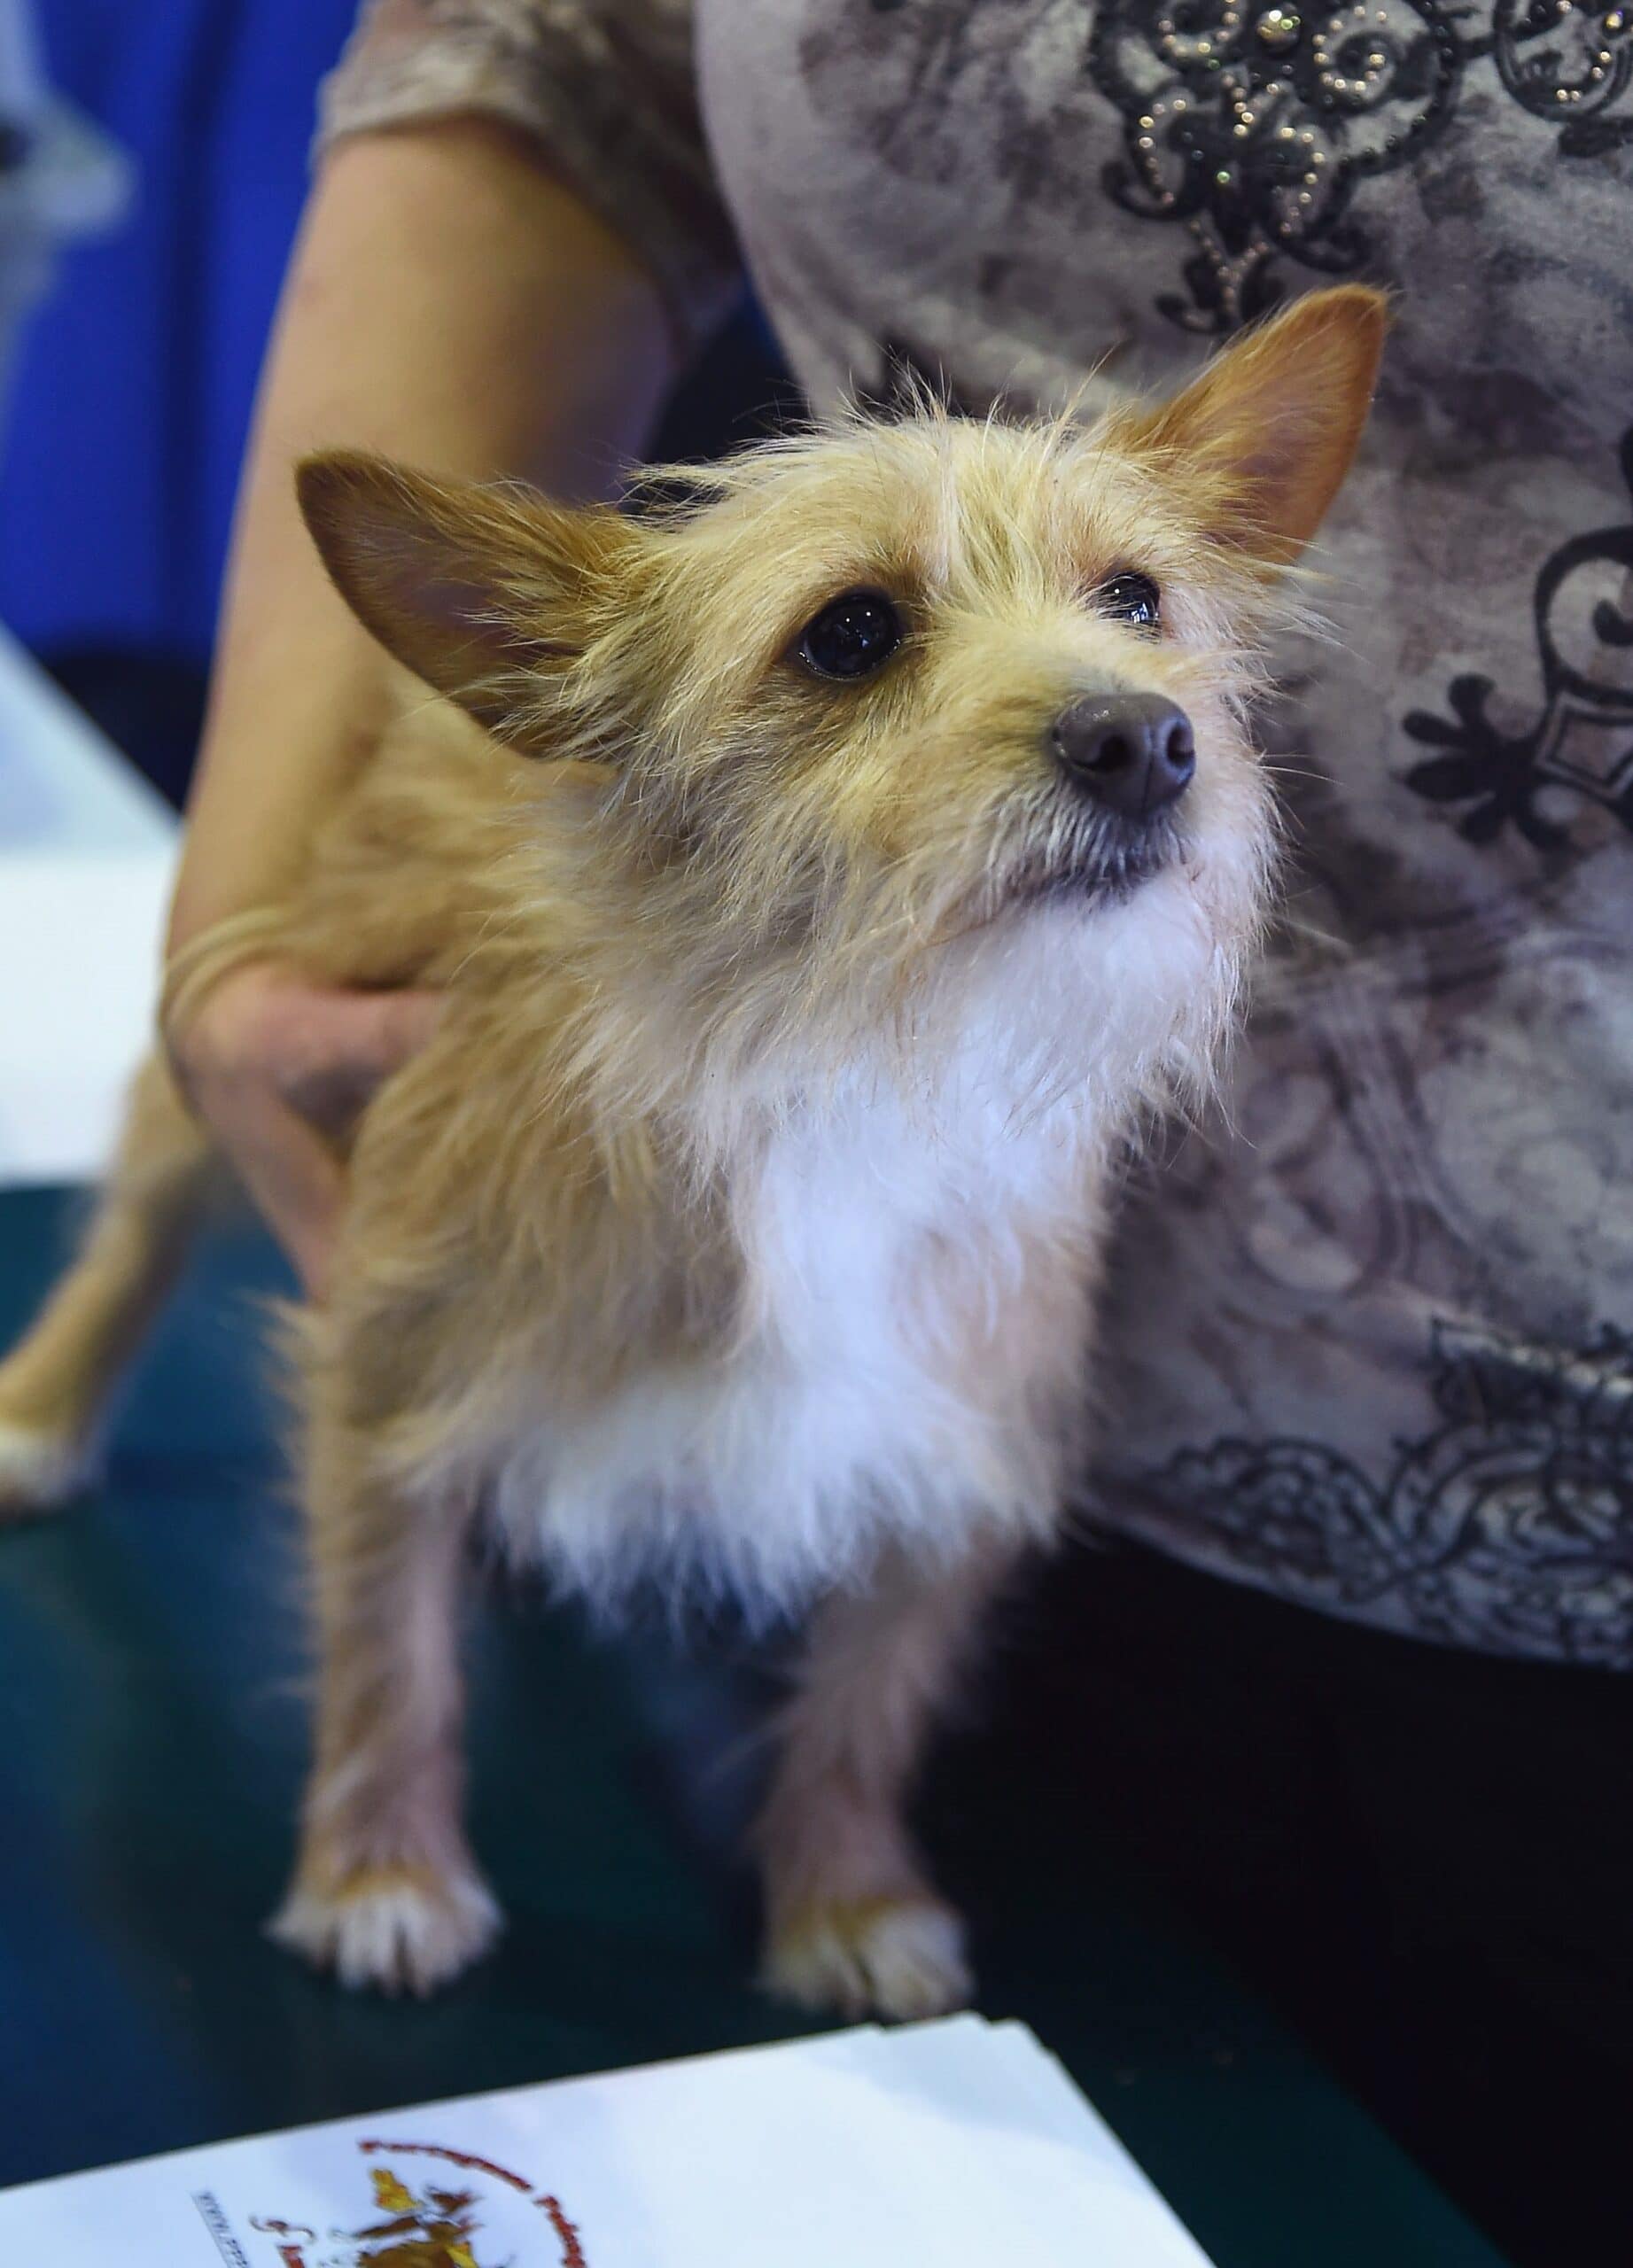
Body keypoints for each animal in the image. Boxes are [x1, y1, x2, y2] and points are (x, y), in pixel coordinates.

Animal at [0, 288, 1379, 2023]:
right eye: (849, 634)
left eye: (1135, 598)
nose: (1144, 737)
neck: (844, 1045)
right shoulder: (385, 1370)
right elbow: (389, 1654)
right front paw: (381, 1872)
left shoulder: (958, 1442)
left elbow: (867, 1707)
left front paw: (845, 1894)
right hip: (227, 1064)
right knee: (134, 1236)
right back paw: (40, 1412)